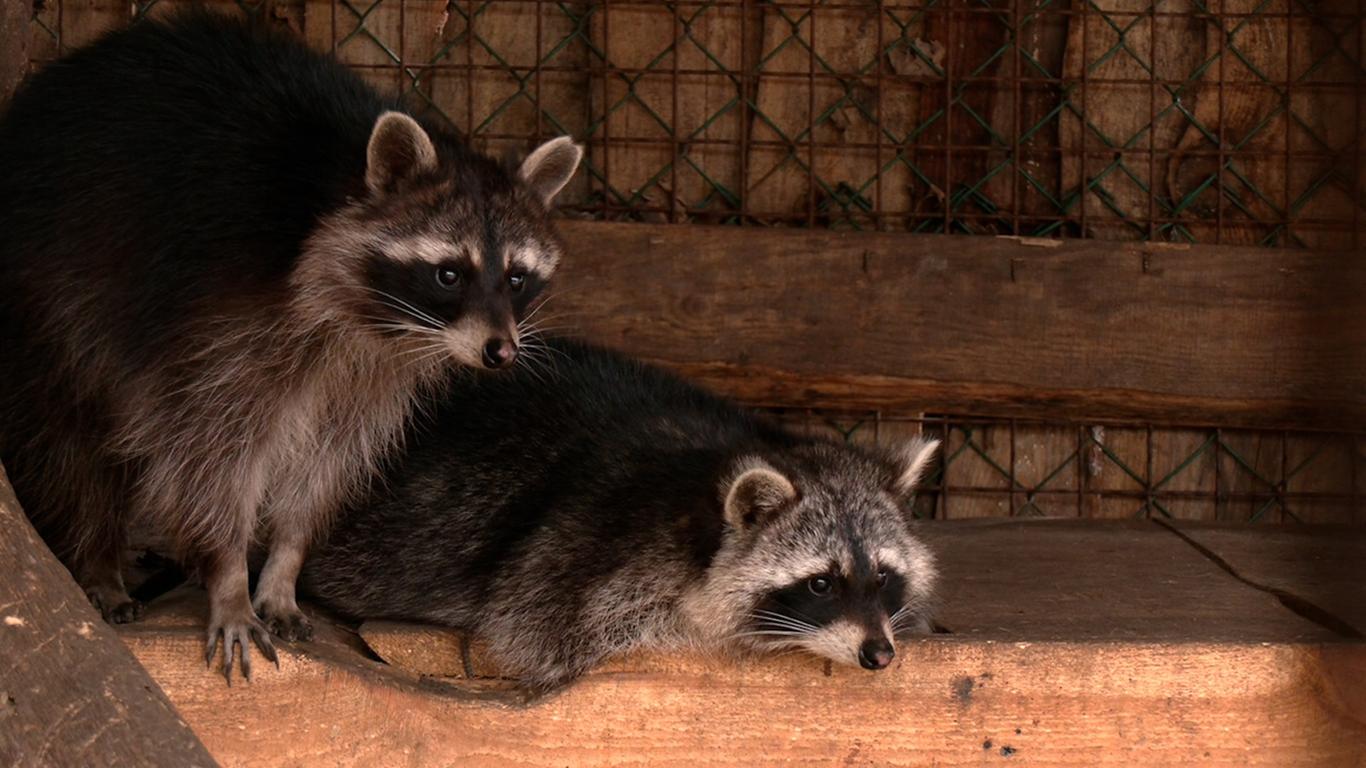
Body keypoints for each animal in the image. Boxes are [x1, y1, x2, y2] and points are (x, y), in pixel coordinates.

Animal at [0, 11, 581, 675]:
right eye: (449, 274)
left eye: (516, 277)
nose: (500, 352)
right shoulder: (225, 323)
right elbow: (208, 451)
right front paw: (227, 573)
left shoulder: (375, 373)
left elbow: (328, 464)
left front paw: (284, 566)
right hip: (52, 290)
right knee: (71, 438)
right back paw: (97, 557)